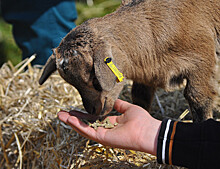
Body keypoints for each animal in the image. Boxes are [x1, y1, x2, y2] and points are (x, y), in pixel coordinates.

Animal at [38, 0, 219, 122]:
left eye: (96, 80)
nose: (93, 111)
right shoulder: (147, 74)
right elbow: (140, 97)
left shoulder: (202, 61)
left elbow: (197, 98)